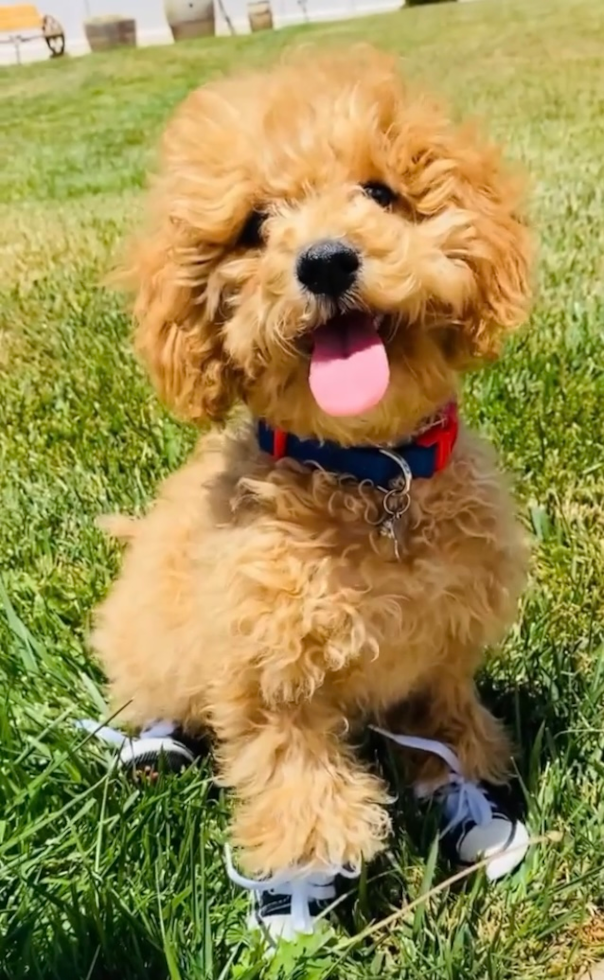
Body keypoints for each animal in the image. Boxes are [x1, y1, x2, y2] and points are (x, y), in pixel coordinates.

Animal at [91, 44, 532, 940]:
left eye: (381, 193)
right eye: (255, 227)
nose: (325, 261)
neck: (370, 476)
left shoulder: (444, 647)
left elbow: (445, 715)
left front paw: (468, 782)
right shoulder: (266, 669)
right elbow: (290, 766)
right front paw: (307, 869)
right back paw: (153, 745)